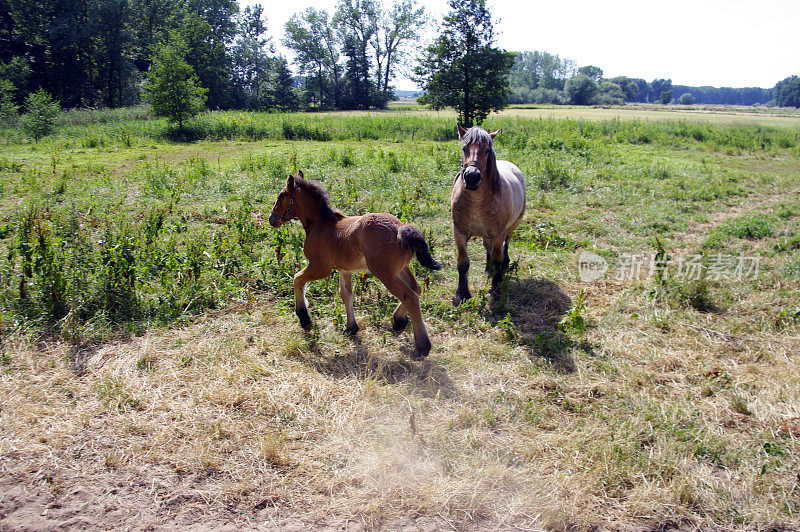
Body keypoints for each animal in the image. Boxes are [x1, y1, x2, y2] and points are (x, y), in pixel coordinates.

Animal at [454, 123, 528, 306]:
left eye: (487, 150)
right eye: (464, 148)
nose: (472, 177)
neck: (476, 201)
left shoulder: (498, 233)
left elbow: (498, 257)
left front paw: (495, 289)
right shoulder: (459, 232)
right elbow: (463, 263)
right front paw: (461, 294)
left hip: (511, 227)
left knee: (505, 245)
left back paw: (502, 266)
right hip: (486, 234)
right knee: (488, 247)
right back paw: (489, 269)